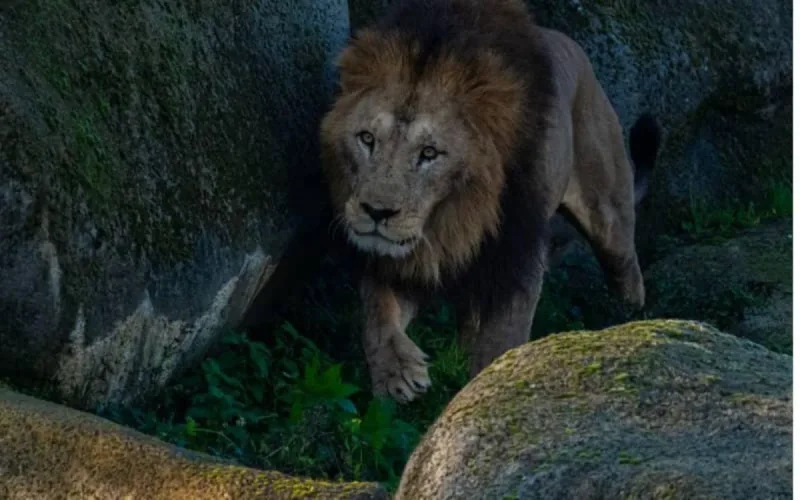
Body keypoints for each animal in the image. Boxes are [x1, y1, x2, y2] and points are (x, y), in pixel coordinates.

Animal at [320, 0, 662, 403]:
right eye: (367, 139)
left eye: (429, 153)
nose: (376, 212)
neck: (458, 215)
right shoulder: (400, 258)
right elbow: (376, 308)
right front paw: (396, 372)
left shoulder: (518, 258)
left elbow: (501, 340)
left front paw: (490, 390)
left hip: (608, 211)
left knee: (627, 268)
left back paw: (632, 322)